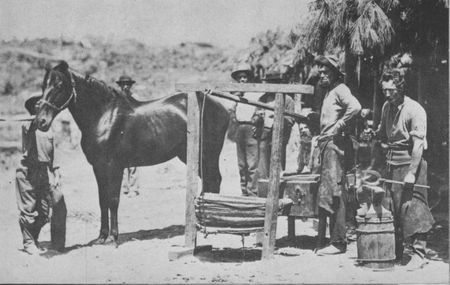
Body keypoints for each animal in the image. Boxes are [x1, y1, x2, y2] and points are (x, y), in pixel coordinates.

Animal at [34, 60, 230, 246]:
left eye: (59, 85)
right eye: (43, 85)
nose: (40, 121)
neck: (104, 116)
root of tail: (219, 106)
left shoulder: (114, 167)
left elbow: (113, 200)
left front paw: (113, 237)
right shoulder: (98, 167)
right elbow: (102, 200)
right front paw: (101, 237)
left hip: (207, 156)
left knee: (214, 181)